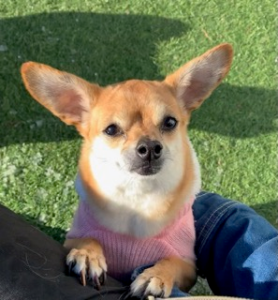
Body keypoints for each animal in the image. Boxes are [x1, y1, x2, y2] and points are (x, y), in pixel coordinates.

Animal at [20, 43, 232, 298]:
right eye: (111, 130)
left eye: (170, 123)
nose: (150, 147)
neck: (137, 194)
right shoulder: (72, 239)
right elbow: (87, 239)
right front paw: (88, 255)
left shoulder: (188, 266)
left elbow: (172, 261)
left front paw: (156, 275)